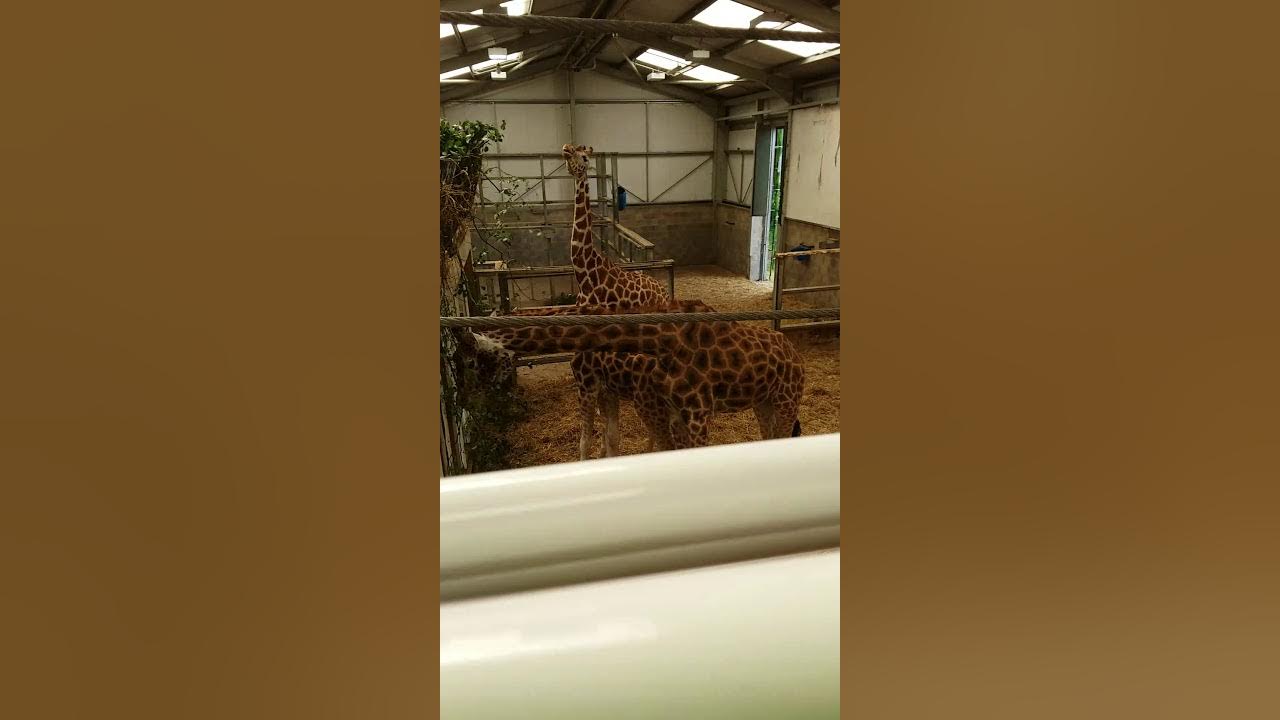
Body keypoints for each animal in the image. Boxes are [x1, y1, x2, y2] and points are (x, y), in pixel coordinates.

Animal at [469, 299, 806, 450]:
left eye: (482, 359)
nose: (486, 398)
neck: (664, 341)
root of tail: (797, 357)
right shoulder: (672, 408)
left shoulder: (697, 411)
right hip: (763, 402)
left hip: (787, 399)